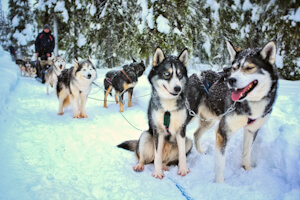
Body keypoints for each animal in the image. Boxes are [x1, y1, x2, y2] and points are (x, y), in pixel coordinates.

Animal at [118, 47, 192, 179]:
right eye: (167, 74)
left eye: (179, 74)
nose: (178, 88)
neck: (168, 108)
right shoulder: (158, 131)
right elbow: (157, 155)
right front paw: (157, 173)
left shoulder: (181, 130)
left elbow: (182, 155)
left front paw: (183, 169)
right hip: (145, 136)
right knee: (144, 158)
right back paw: (140, 165)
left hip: (188, 142)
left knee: (166, 160)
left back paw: (164, 166)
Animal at [188, 41, 278, 183]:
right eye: (234, 68)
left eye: (249, 68)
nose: (231, 80)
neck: (251, 104)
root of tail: (194, 75)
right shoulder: (223, 132)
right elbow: (220, 162)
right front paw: (220, 184)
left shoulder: (251, 130)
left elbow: (246, 152)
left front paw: (247, 169)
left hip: (209, 120)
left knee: (196, 134)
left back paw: (201, 153)